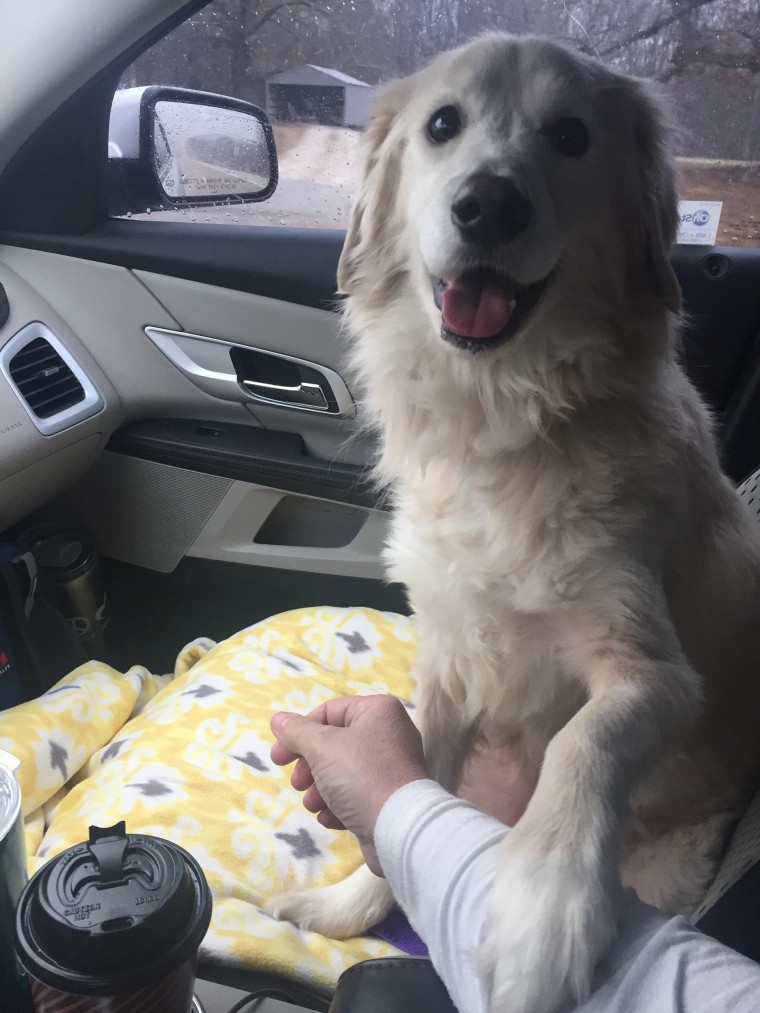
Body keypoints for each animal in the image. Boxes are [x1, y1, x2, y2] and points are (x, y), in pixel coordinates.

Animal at [271, 33, 760, 1013]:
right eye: (442, 125)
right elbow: (409, 769)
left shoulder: (655, 670)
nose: (488, 203)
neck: (504, 416)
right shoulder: (450, 651)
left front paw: (544, 909)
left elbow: (583, 740)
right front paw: (353, 896)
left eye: (570, 135)